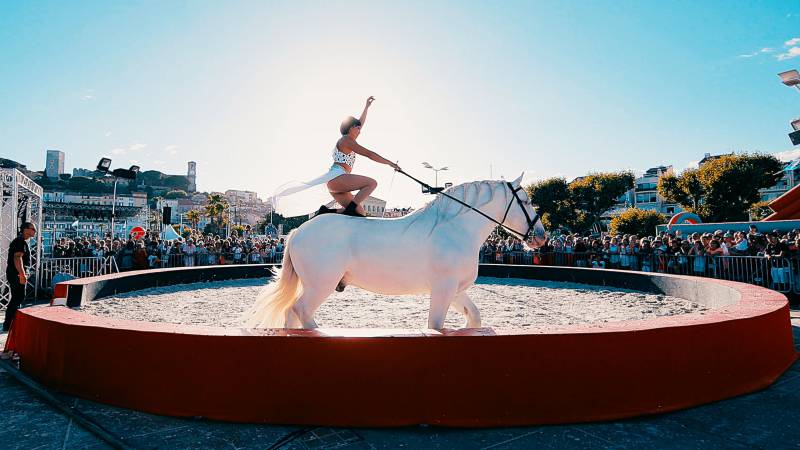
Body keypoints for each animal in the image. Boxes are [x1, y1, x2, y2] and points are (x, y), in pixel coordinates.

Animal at [244, 174, 544, 328]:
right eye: (527, 201)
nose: (541, 237)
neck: (454, 228)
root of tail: (296, 232)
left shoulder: (455, 290)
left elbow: (475, 316)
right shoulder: (443, 290)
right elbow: (435, 326)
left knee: (290, 313)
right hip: (321, 285)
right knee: (301, 311)